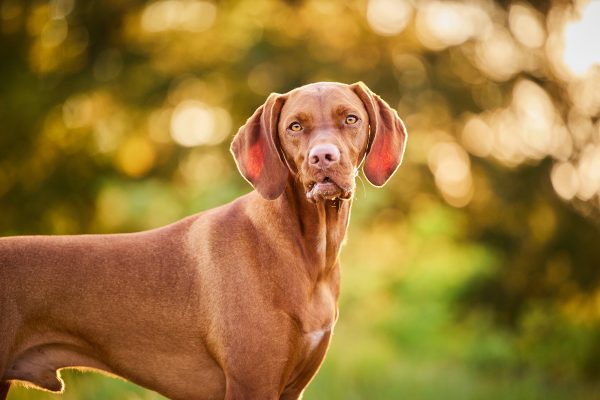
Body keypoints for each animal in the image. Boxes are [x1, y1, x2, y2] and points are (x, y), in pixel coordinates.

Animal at [0, 82, 406, 400]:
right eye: (295, 126)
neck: (308, 254)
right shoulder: (252, 386)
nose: (323, 157)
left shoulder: (291, 389)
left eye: (350, 119)